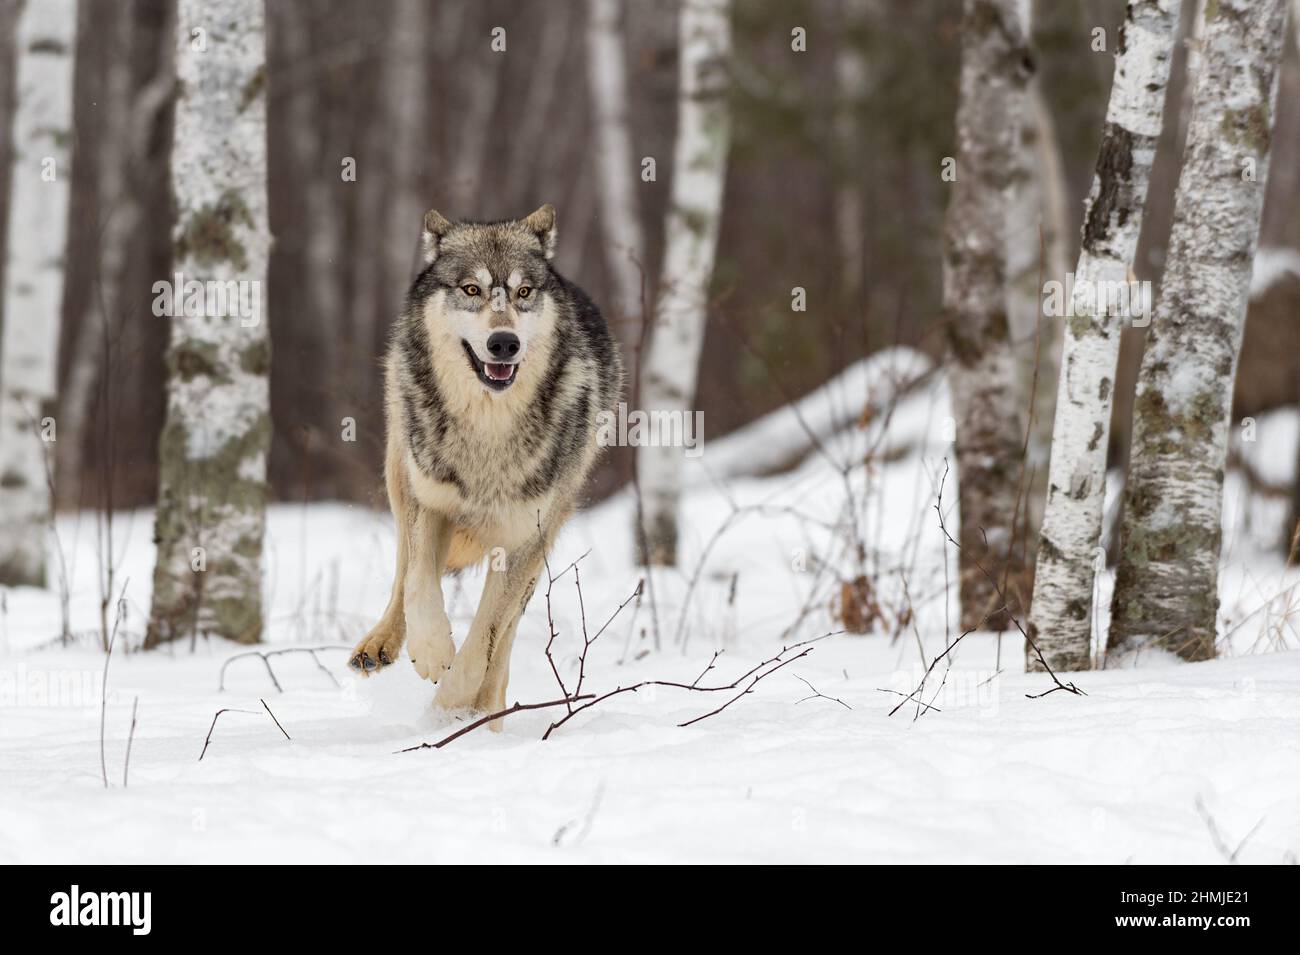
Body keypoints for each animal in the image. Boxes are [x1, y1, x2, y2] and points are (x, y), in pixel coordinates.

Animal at [351, 203, 624, 722]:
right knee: (402, 571)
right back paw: (378, 645)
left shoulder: (520, 541)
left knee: (507, 636)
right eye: (471, 290)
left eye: (523, 292)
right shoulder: (429, 502)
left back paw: (488, 710)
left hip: (546, 533)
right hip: (399, 473)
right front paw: (432, 653)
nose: (503, 343)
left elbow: (485, 640)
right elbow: (419, 587)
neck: (487, 430)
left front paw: (450, 711)